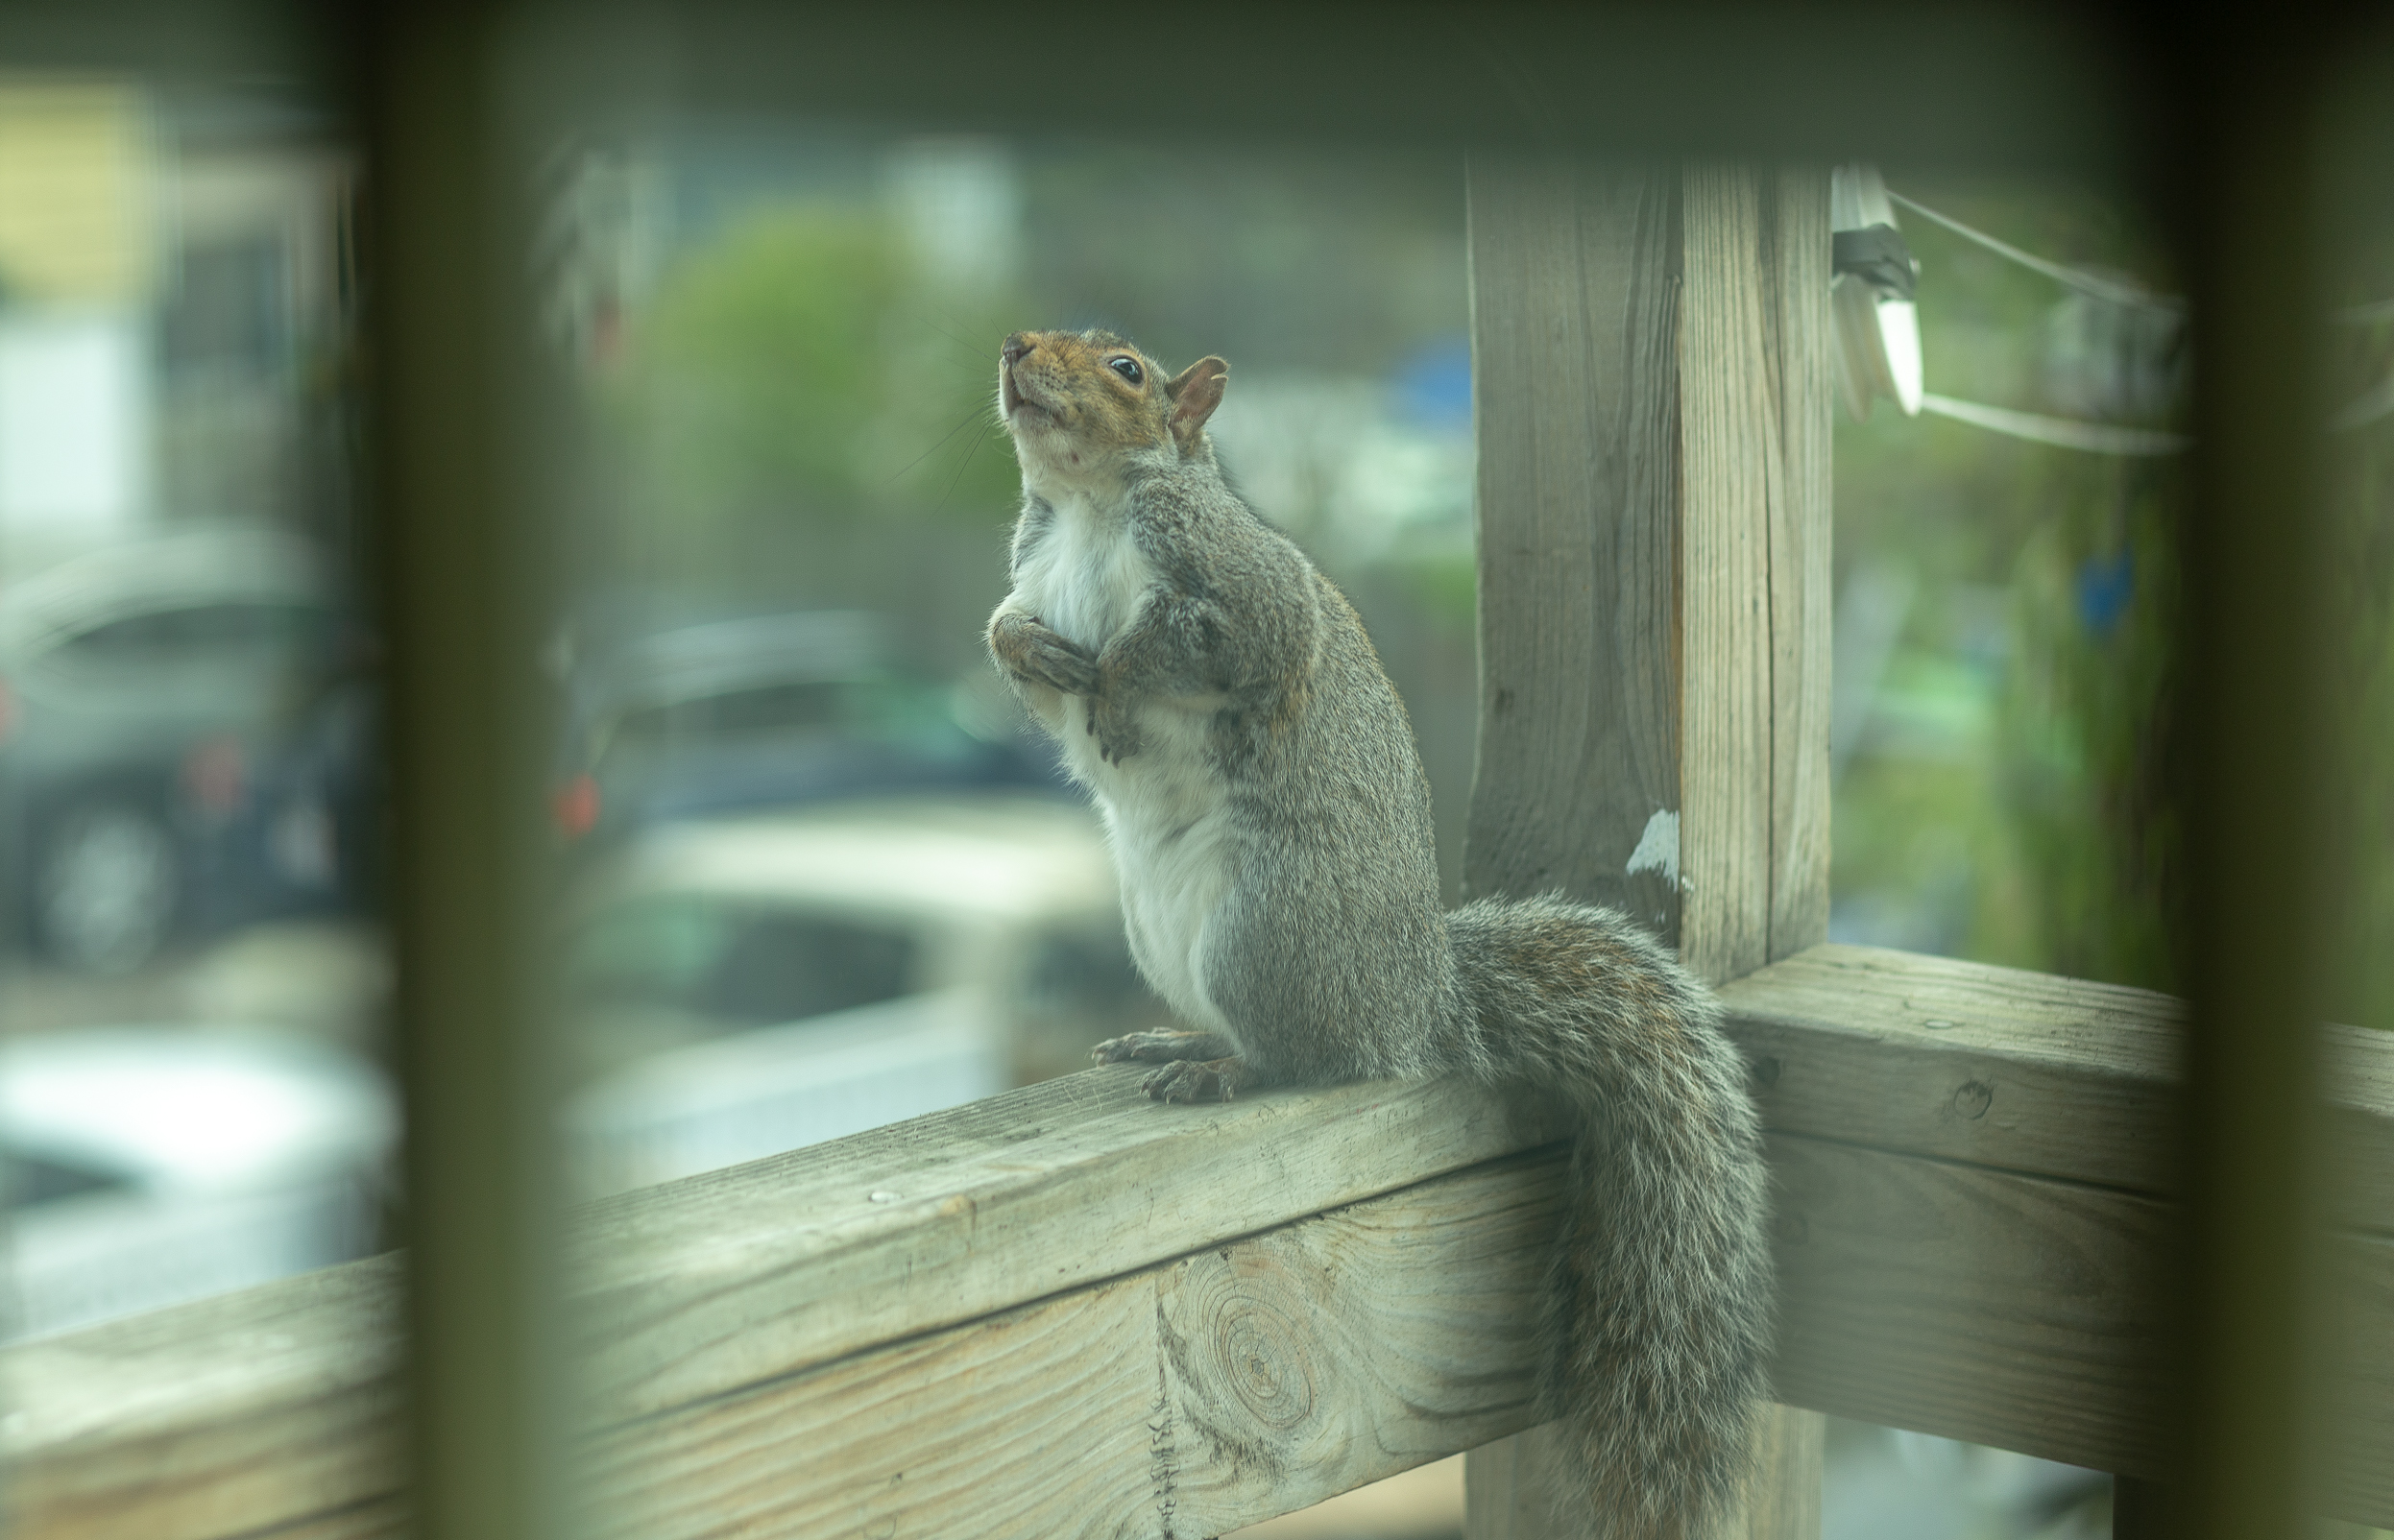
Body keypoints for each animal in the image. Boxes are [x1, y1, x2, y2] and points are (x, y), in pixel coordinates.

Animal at [985, 328, 1772, 1540]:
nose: (1018, 346)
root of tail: (1420, 997)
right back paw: (1181, 1041)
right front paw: (1024, 645)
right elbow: (1018, 647)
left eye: (1125, 368)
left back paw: (1229, 1069)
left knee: (1317, 1057)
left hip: (1266, 930)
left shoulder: (1235, 584)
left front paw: (1110, 676)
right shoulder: (1037, 568)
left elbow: (1217, 644)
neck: (1082, 505)